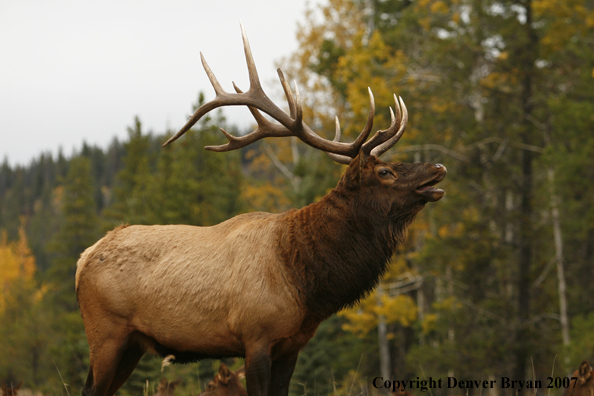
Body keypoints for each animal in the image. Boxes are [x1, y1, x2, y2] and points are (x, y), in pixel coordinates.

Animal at [74, 24, 444, 396]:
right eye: (385, 172)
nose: (438, 167)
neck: (305, 284)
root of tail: (82, 260)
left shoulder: (292, 345)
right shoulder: (256, 337)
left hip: (132, 344)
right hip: (106, 334)